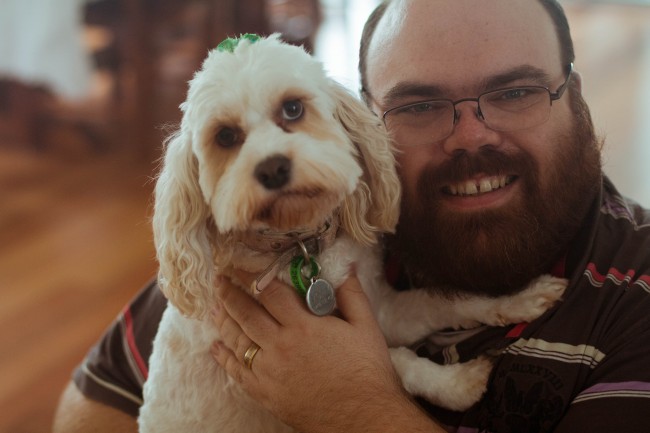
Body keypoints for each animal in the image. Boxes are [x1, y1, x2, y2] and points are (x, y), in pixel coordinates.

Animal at [139, 34, 564, 432]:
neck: (302, 246)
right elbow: (392, 362)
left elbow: (447, 301)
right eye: (225, 136)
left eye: (293, 108)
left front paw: (520, 299)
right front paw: (458, 384)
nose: (272, 168)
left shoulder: (385, 309)